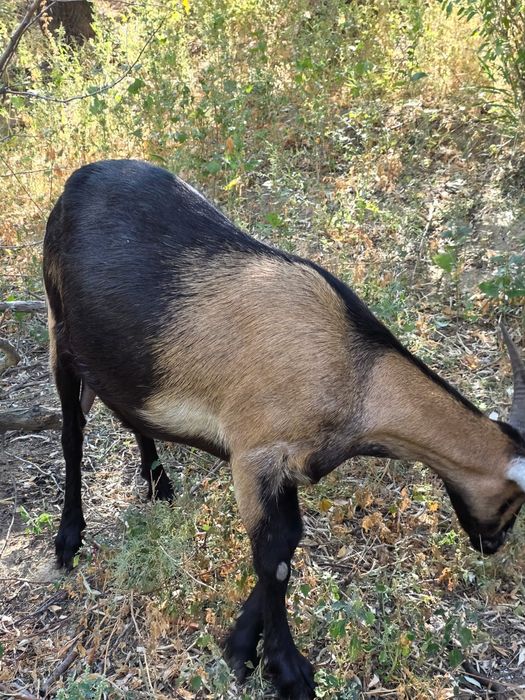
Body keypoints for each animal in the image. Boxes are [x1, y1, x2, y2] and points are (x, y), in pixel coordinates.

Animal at [43, 159, 525, 700]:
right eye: (513, 500)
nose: (493, 544)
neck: (358, 374)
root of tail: (78, 179)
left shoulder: (290, 467)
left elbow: (288, 543)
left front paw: (240, 646)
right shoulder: (253, 454)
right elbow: (271, 558)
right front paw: (286, 670)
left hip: (120, 358)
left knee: (126, 408)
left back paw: (158, 483)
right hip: (58, 330)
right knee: (71, 434)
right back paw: (68, 540)